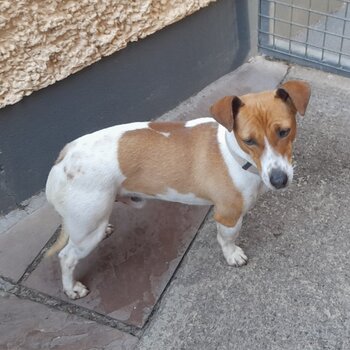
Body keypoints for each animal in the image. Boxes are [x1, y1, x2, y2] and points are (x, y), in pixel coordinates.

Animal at [46, 80, 312, 300]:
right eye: (249, 141)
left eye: (284, 131)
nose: (279, 180)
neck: (235, 153)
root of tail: (66, 153)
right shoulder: (227, 216)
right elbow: (227, 239)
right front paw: (232, 255)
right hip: (87, 231)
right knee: (66, 257)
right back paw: (71, 288)